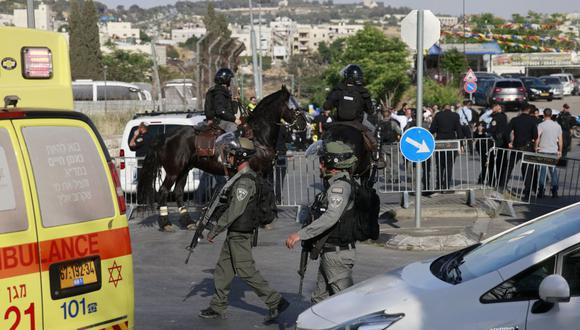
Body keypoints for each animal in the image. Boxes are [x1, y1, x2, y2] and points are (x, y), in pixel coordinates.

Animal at [138, 85, 306, 229]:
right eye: (291, 104)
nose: (303, 123)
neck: (258, 136)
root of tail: (164, 136)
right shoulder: (258, 171)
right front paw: (262, 219)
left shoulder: (263, 172)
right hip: (173, 171)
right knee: (163, 191)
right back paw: (165, 223)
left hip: (184, 170)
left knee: (178, 192)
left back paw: (188, 222)